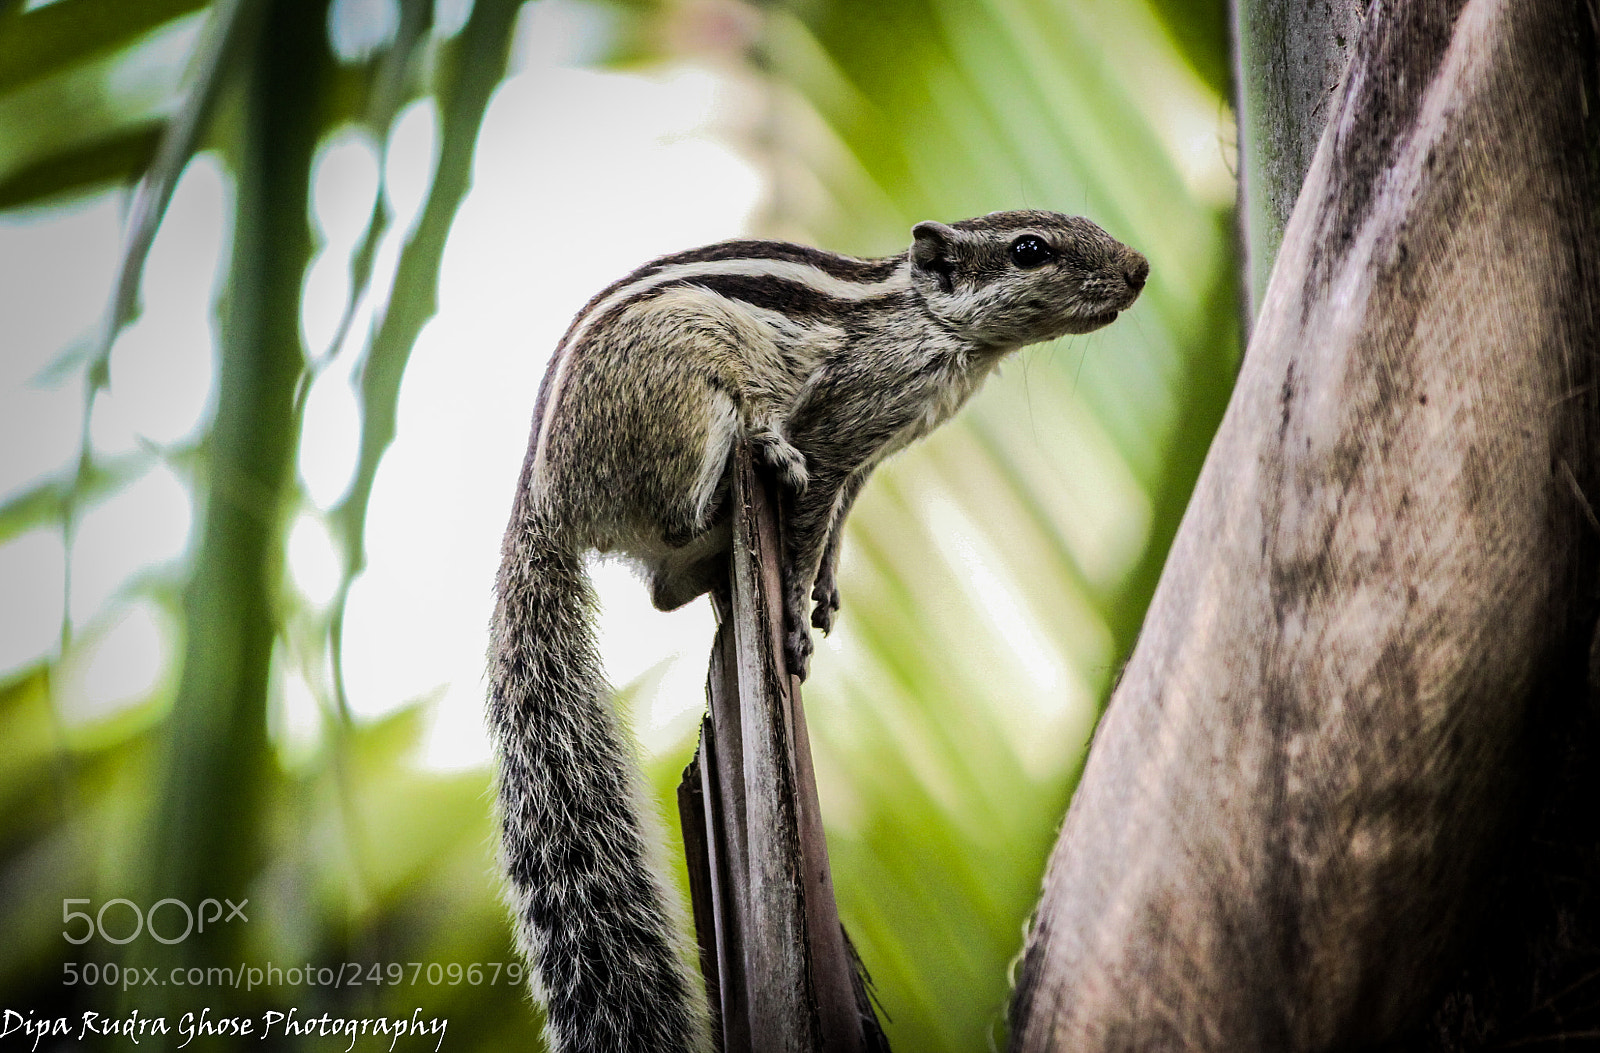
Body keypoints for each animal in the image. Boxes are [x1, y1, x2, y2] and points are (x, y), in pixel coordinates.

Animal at [489, 210, 1147, 1053]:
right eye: (1030, 248)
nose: (1140, 269)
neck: (931, 324)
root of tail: (543, 500)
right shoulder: (843, 432)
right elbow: (808, 522)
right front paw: (795, 618)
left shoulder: (873, 456)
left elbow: (837, 525)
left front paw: (828, 587)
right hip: (688, 399)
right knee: (685, 519)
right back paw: (754, 462)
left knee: (668, 587)